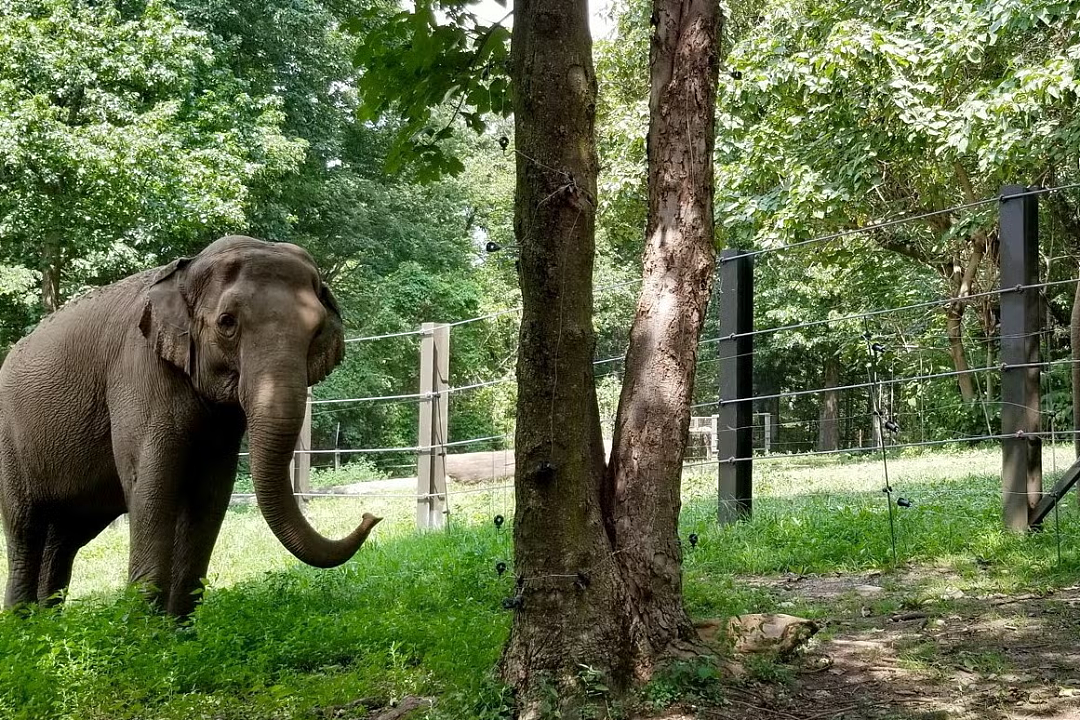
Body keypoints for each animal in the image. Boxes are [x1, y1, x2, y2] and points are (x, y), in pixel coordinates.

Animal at [0, 235, 380, 616]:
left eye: (316, 330)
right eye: (227, 322)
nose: (371, 516)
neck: (187, 269)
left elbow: (211, 491)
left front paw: (178, 627)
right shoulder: (137, 371)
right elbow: (153, 482)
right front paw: (143, 629)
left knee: (64, 536)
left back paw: (47, 620)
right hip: (8, 443)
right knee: (25, 528)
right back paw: (23, 622)